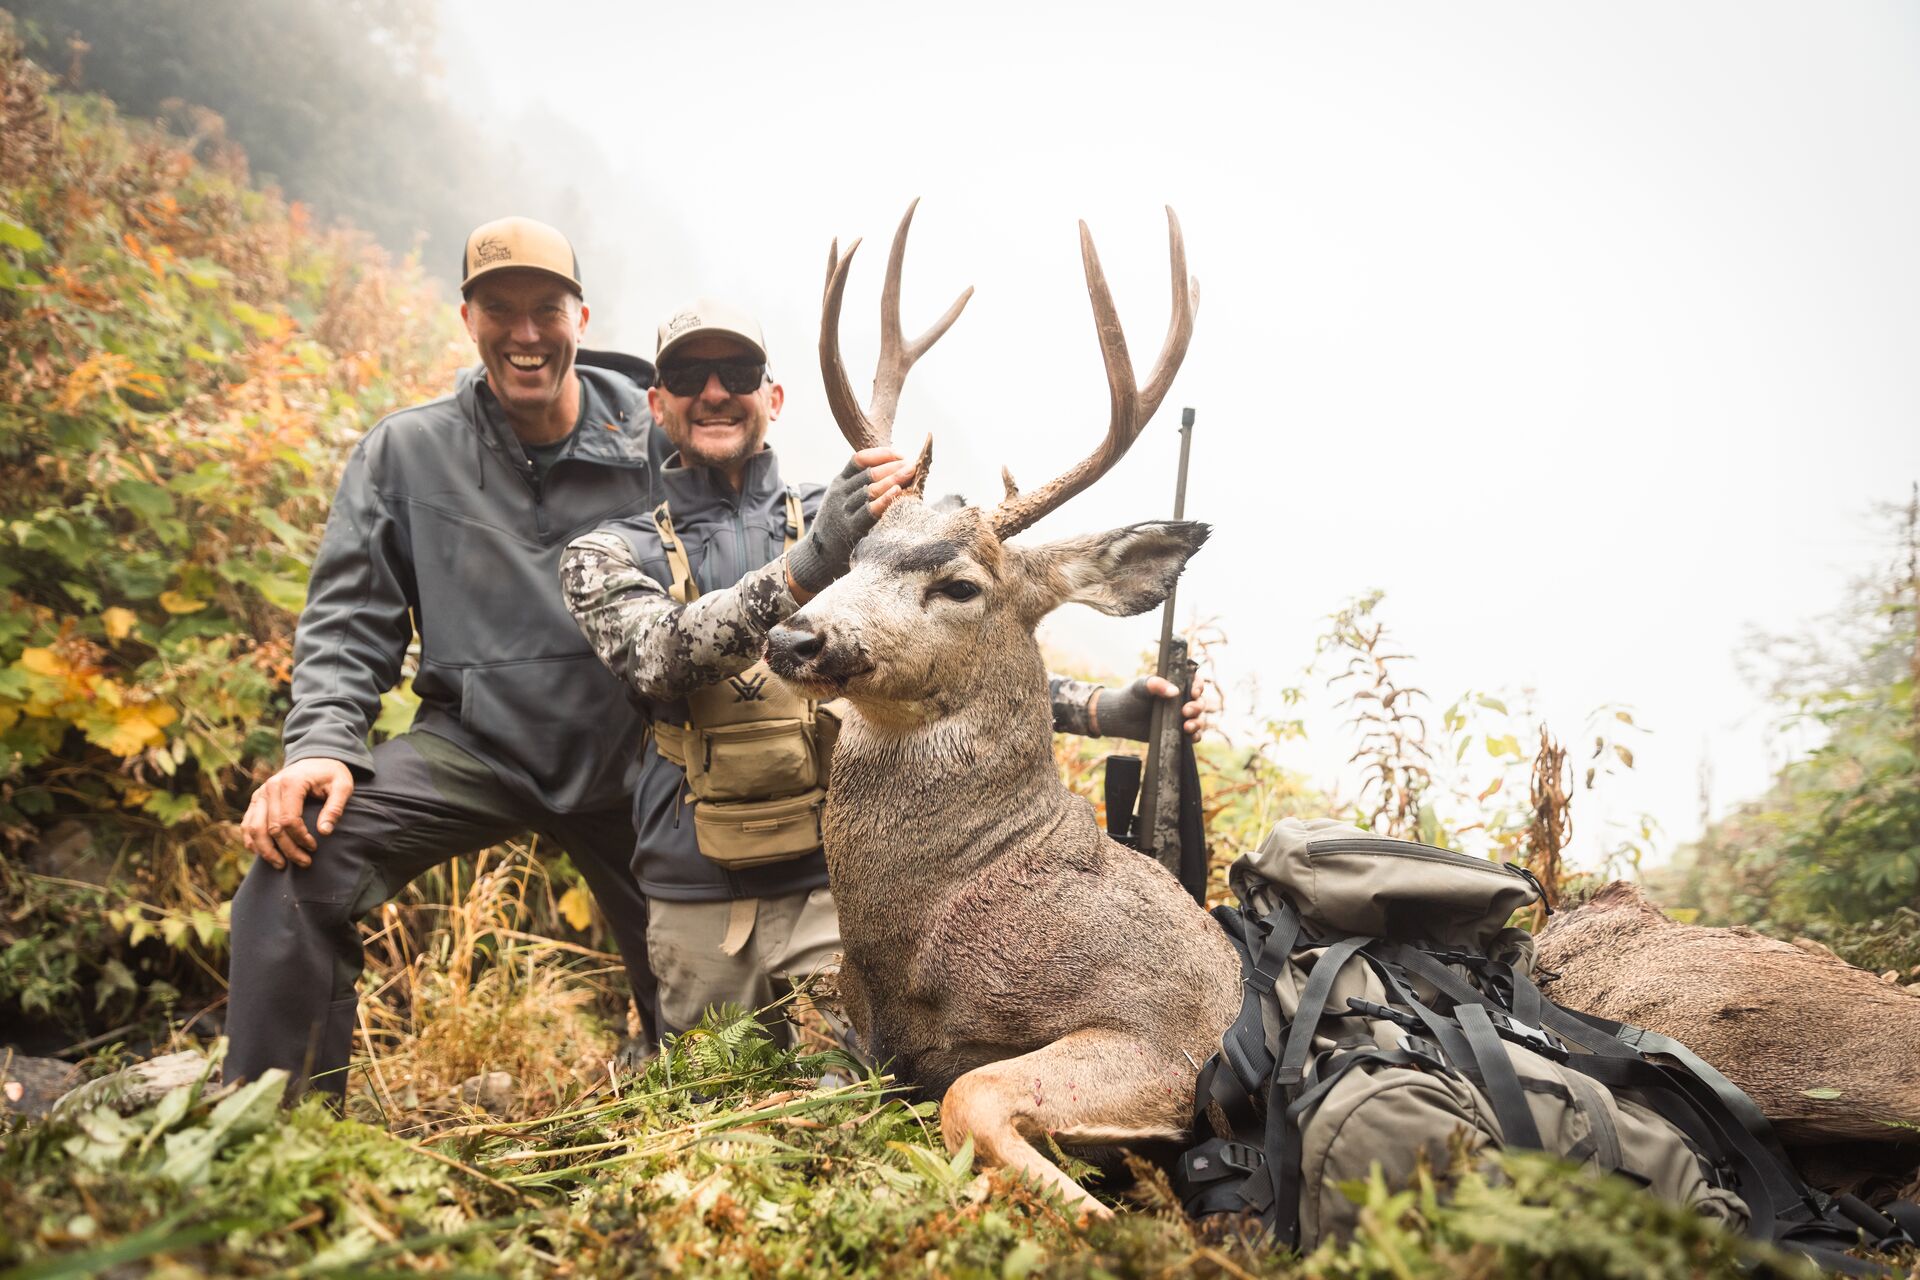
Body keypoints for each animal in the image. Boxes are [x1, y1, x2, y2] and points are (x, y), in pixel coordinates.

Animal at [764, 202, 1243, 1218]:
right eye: (852, 554)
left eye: (959, 584)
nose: (796, 638)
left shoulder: (1173, 1034)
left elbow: (971, 1092)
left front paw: (1114, 1225)